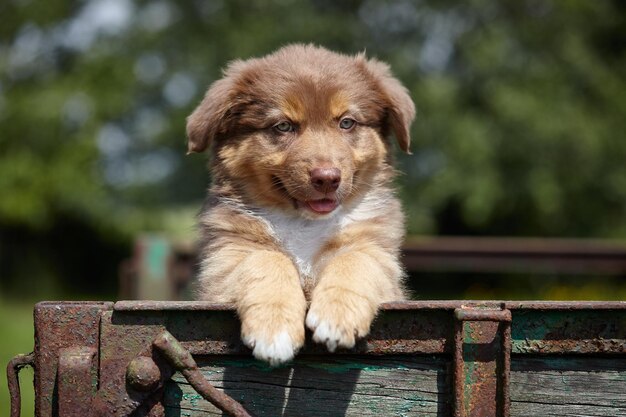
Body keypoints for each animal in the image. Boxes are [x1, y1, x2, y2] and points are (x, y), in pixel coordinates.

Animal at [185, 44, 414, 366]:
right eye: (283, 126)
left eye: (347, 122)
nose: (327, 178)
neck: (303, 222)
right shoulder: (228, 257)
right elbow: (266, 259)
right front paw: (274, 329)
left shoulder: (377, 252)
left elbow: (355, 259)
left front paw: (336, 317)